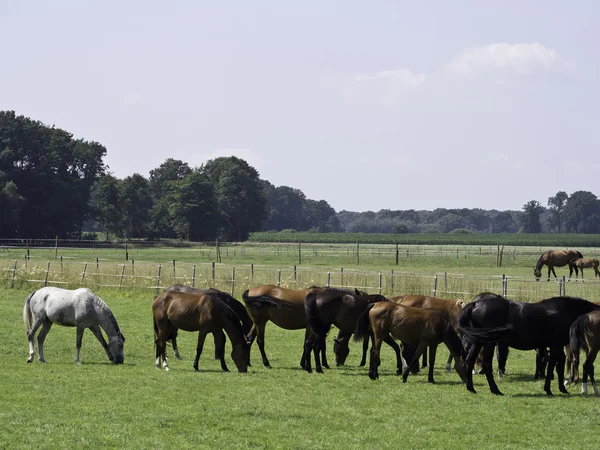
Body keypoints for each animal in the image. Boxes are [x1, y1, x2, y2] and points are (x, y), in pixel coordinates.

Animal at [458, 292, 600, 394]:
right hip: (488, 342)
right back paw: (495, 390)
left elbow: (559, 367)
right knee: (486, 363)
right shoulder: (556, 345)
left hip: (478, 341)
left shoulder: (558, 347)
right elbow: (551, 366)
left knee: (470, 359)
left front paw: (562, 388)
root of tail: (475, 304)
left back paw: (471, 388)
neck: (567, 311)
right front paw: (548, 389)